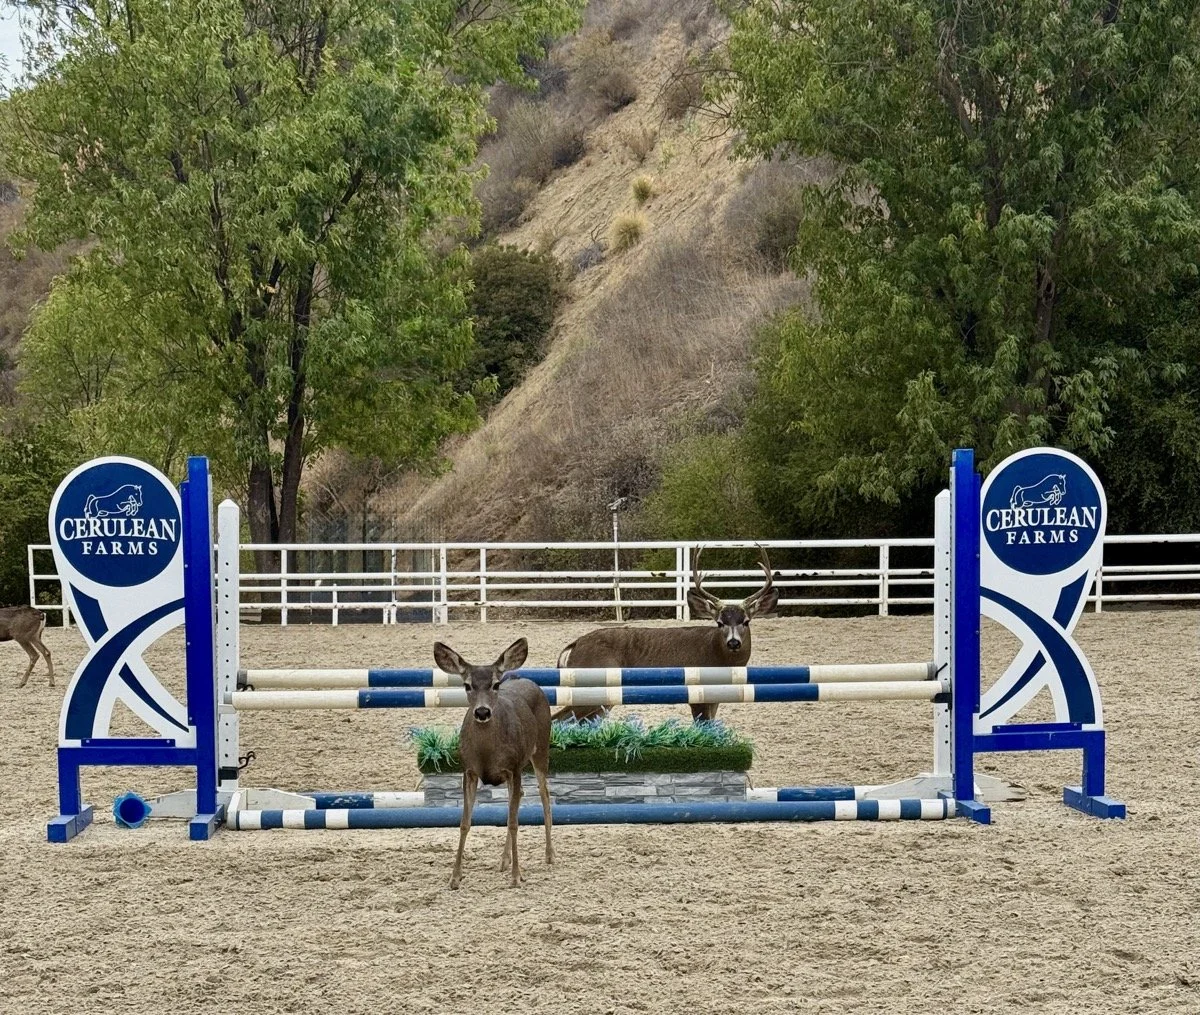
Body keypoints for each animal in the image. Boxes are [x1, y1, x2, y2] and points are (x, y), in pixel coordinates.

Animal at [433, 637, 554, 890]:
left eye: (496, 685)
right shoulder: (469, 770)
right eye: (467, 685)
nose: (481, 712)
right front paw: (454, 877)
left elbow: (513, 822)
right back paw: (503, 861)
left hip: (541, 747)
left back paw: (549, 854)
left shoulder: (514, 766)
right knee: (520, 796)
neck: (486, 752)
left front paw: (516, 877)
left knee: (544, 792)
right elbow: (465, 823)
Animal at [552, 545, 778, 724]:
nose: (733, 642)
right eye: (720, 622)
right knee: (561, 719)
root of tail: (574, 646)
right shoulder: (697, 694)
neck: (717, 657)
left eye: (746, 621)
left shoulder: (716, 697)